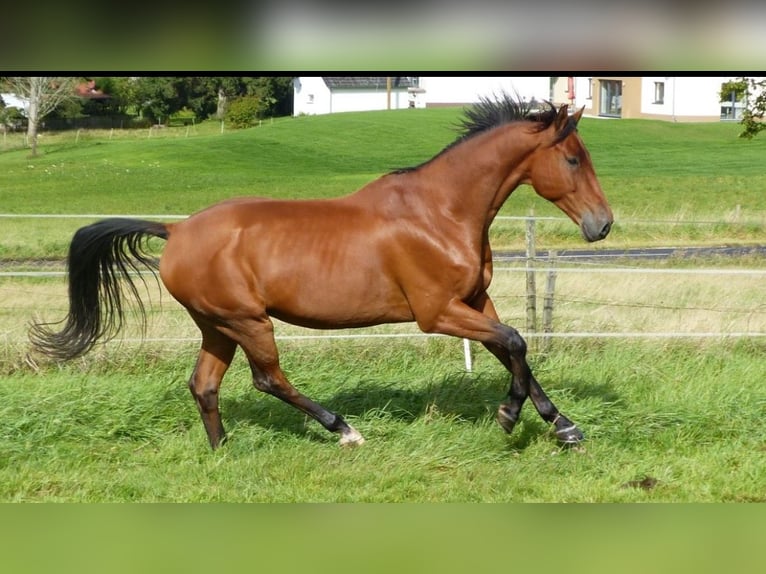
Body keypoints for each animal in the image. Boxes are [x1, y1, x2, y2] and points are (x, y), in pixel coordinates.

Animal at [29, 94, 613, 450]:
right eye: (574, 160)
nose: (602, 224)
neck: (440, 212)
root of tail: (175, 231)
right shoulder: (438, 313)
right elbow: (515, 342)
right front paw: (511, 416)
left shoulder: (473, 302)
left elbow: (515, 352)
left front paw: (563, 425)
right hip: (247, 322)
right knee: (267, 379)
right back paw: (344, 430)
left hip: (216, 325)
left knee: (204, 384)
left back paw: (223, 451)